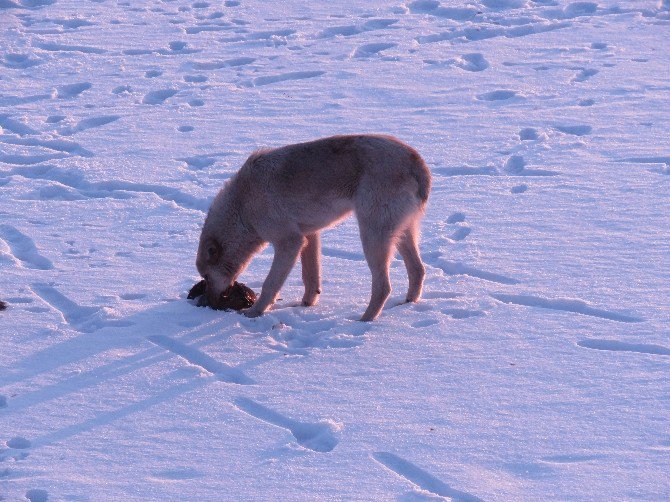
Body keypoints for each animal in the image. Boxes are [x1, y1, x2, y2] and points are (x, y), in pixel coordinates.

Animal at [197, 134, 434, 322]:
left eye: (206, 277)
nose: (206, 303)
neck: (242, 205)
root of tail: (417, 162)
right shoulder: (309, 236)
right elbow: (310, 278)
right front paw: (305, 305)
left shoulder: (289, 242)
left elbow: (270, 284)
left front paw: (255, 312)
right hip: (401, 233)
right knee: (418, 269)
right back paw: (408, 303)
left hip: (373, 236)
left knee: (383, 286)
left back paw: (364, 320)